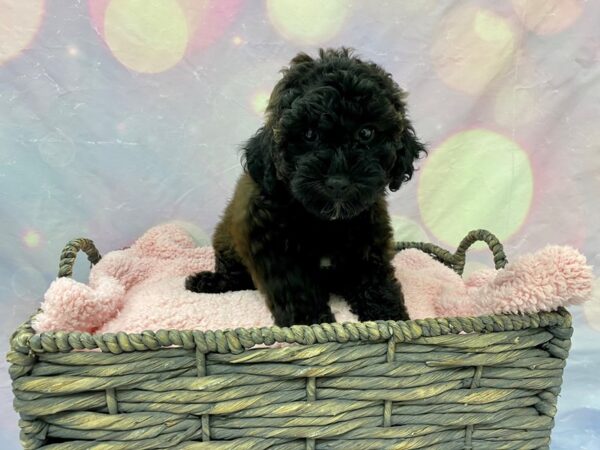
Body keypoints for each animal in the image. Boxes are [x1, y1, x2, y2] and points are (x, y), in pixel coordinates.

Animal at [188, 47, 426, 326]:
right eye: (309, 135)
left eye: (366, 133)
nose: (338, 183)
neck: (324, 220)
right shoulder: (275, 250)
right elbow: (297, 292)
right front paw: (311, 325)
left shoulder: (368, 242)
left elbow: (375, 283)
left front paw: (391, 320)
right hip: (227, 243)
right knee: (234, 275)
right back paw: (207, 281)